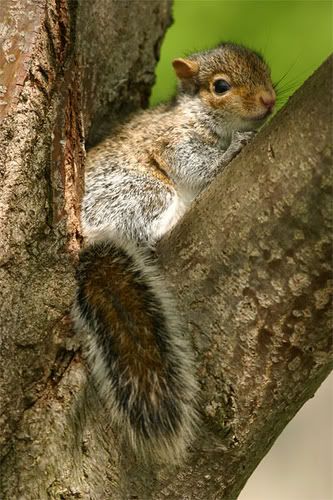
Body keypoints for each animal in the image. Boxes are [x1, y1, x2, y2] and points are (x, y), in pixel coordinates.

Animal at [73, 42, 274, 460]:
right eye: (220, 86)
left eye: (264, 69)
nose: (269, 99)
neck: (196, 113)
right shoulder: (173, 141)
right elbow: (193, 165)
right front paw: (231, 151)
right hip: (142, 190)